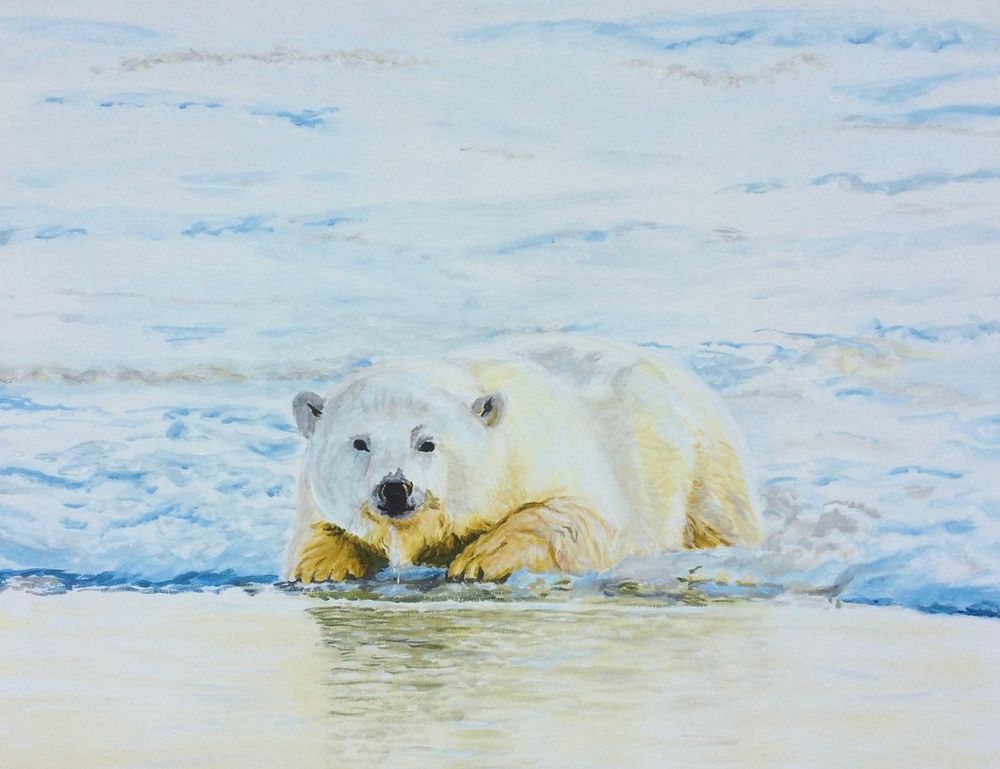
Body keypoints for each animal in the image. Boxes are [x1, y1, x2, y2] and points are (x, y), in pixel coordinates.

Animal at [285, 334, 761, 583]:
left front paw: (476, 561)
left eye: (427, 443)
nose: (395, 489)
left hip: (705, 459)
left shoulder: (544, 451)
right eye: (359, 443)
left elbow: (583, 516)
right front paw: (322, 568)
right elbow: (319, 529)